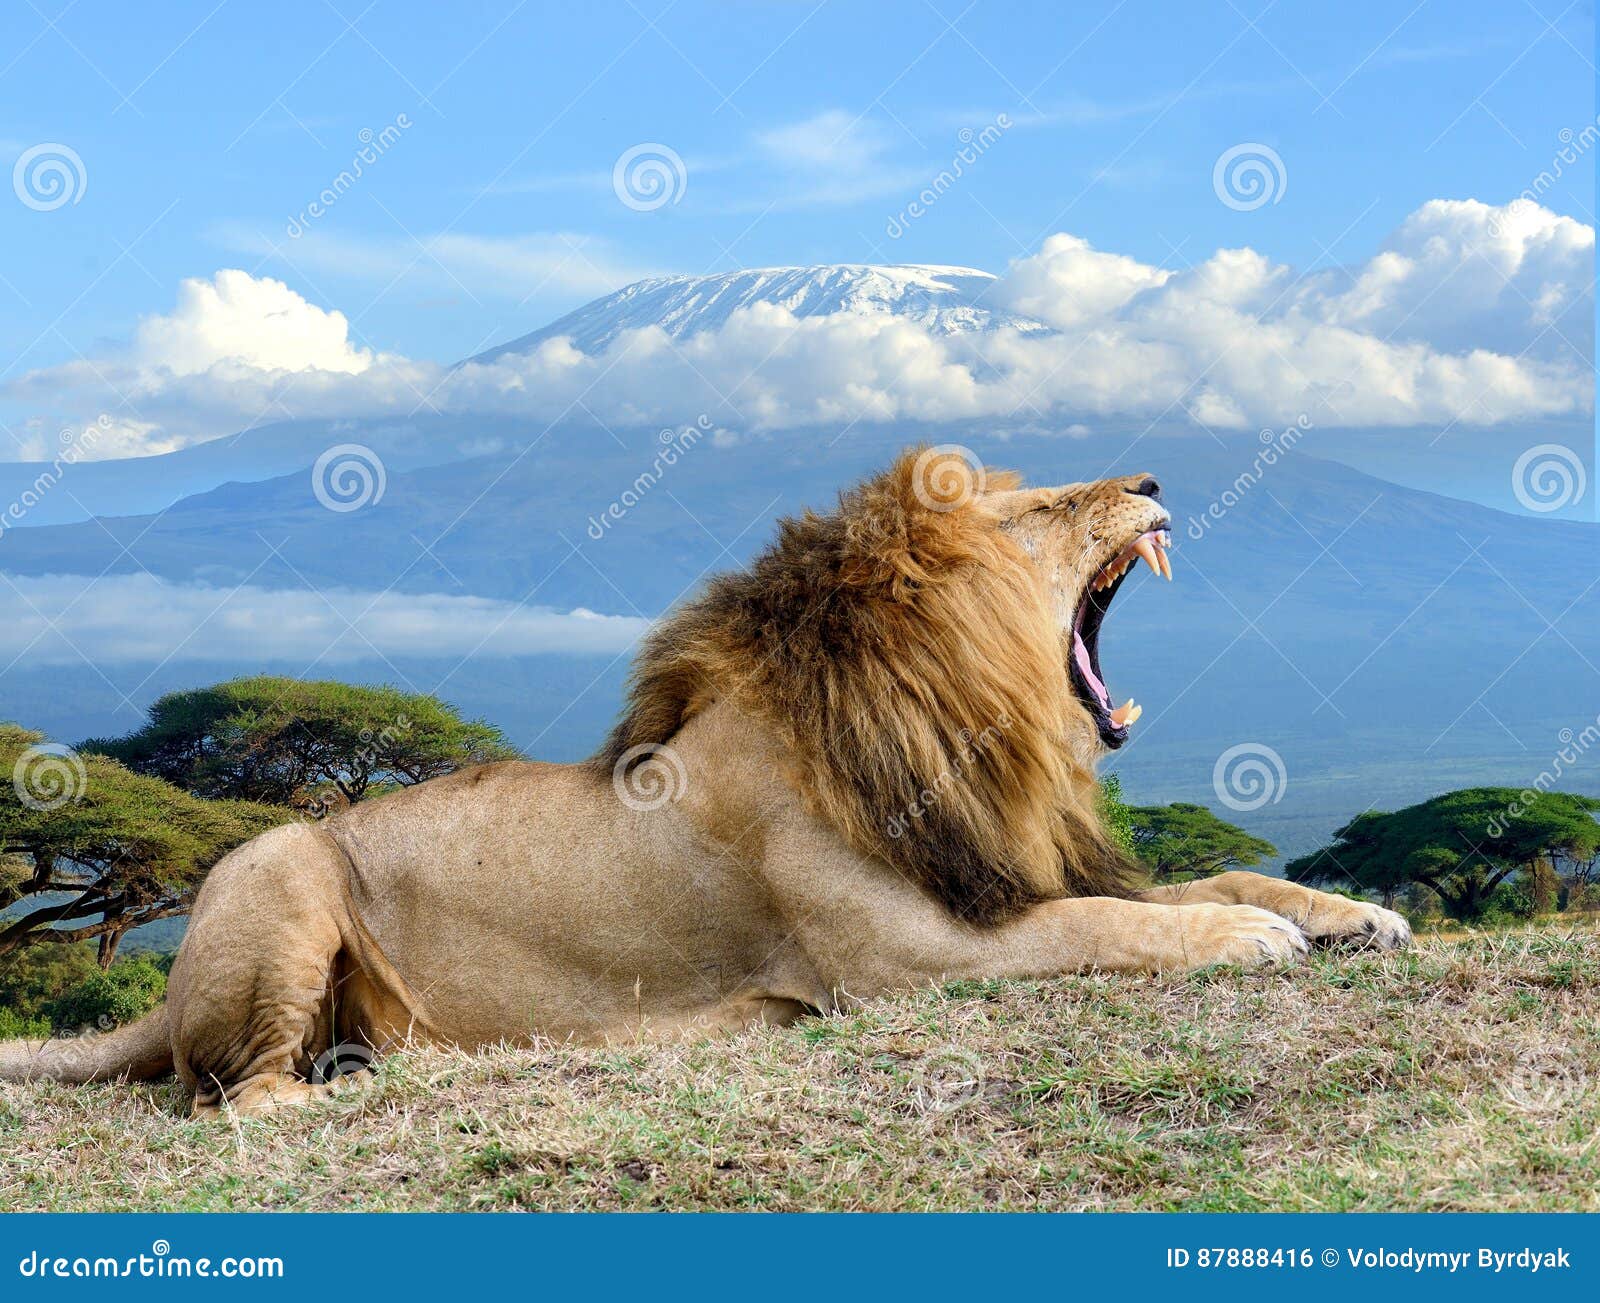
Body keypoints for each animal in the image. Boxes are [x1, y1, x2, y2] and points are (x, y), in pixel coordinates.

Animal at [0, 448, 1401, 1114]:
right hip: (281, 867)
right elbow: (1108, 923)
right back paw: (386, 1082)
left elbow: (1202, 873)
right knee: (238, 1099)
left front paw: (1350, 912)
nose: (1155, 480)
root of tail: (168, 986)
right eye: (1041, 511)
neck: (965, 727)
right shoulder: (905, 960)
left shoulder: (998, 868)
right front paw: (1251, 938)